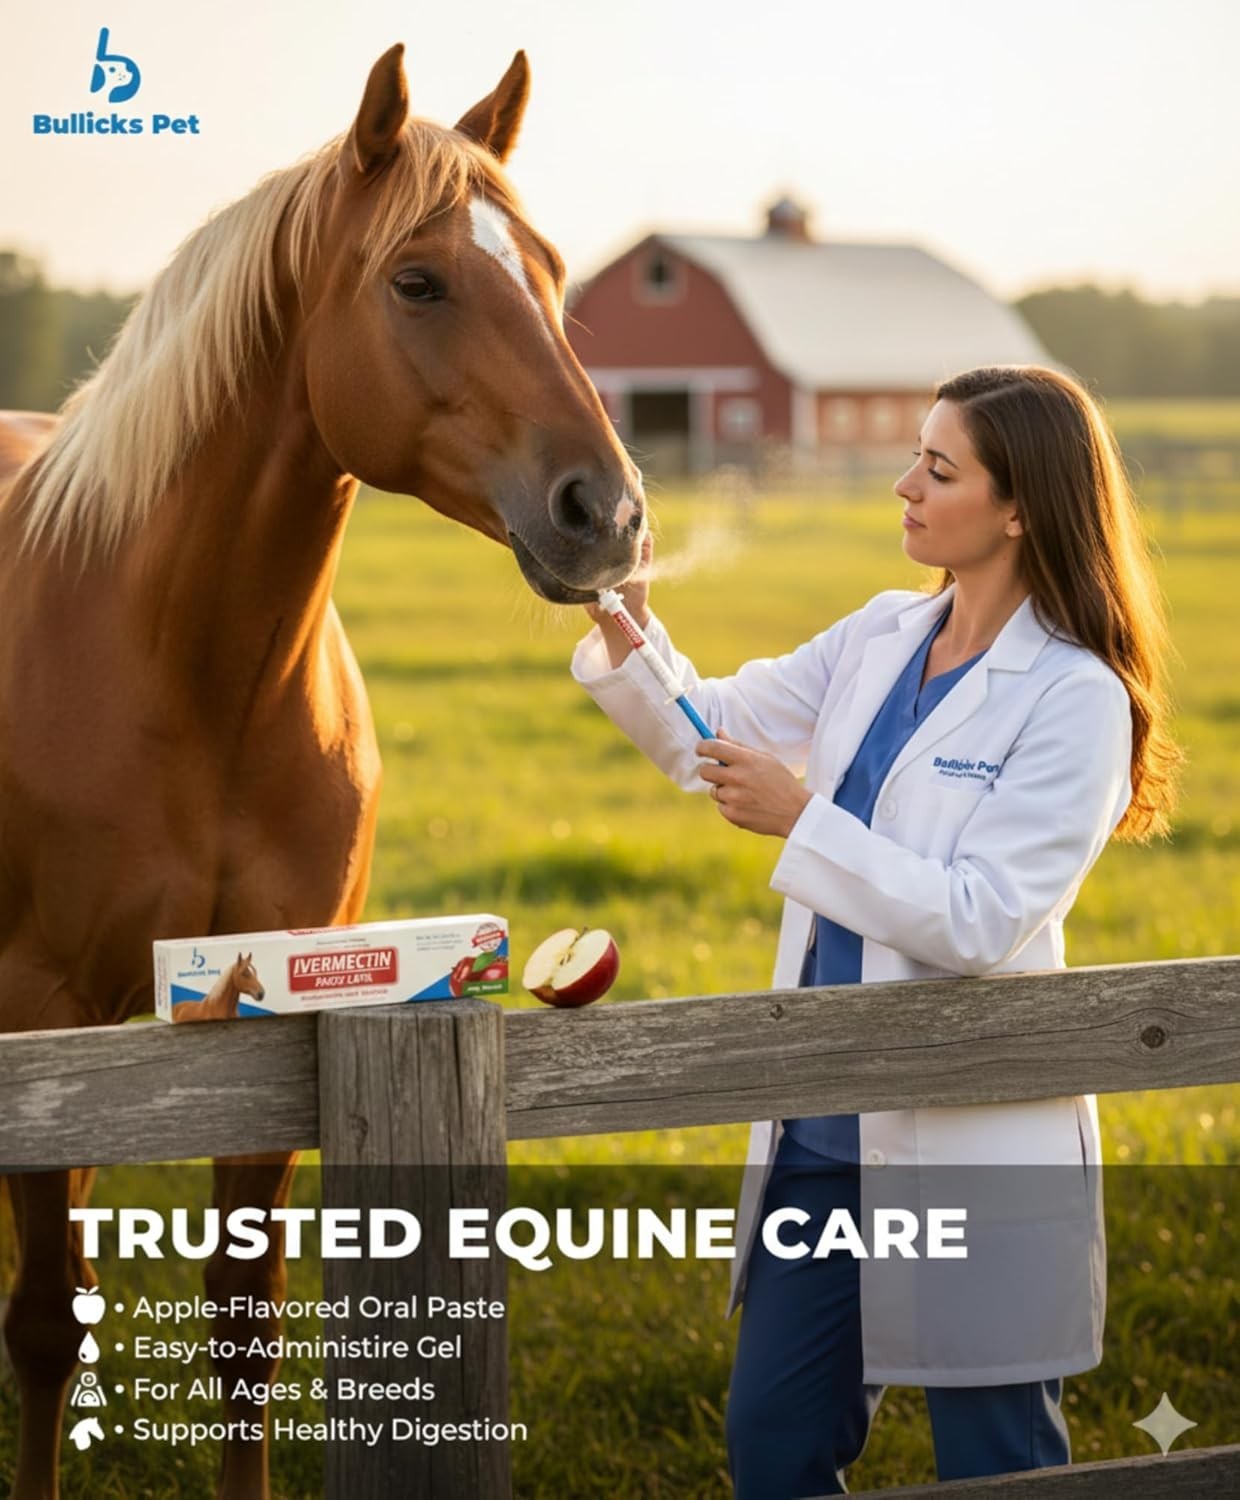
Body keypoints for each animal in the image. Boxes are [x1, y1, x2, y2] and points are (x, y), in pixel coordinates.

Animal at [0, 43, 644, 1500]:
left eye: (553, 271)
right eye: (417, 281)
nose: (610, 515)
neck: (184, 672)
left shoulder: (272, 1013)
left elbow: (244, 1330)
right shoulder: (42, 1010)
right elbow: (44, 1324)